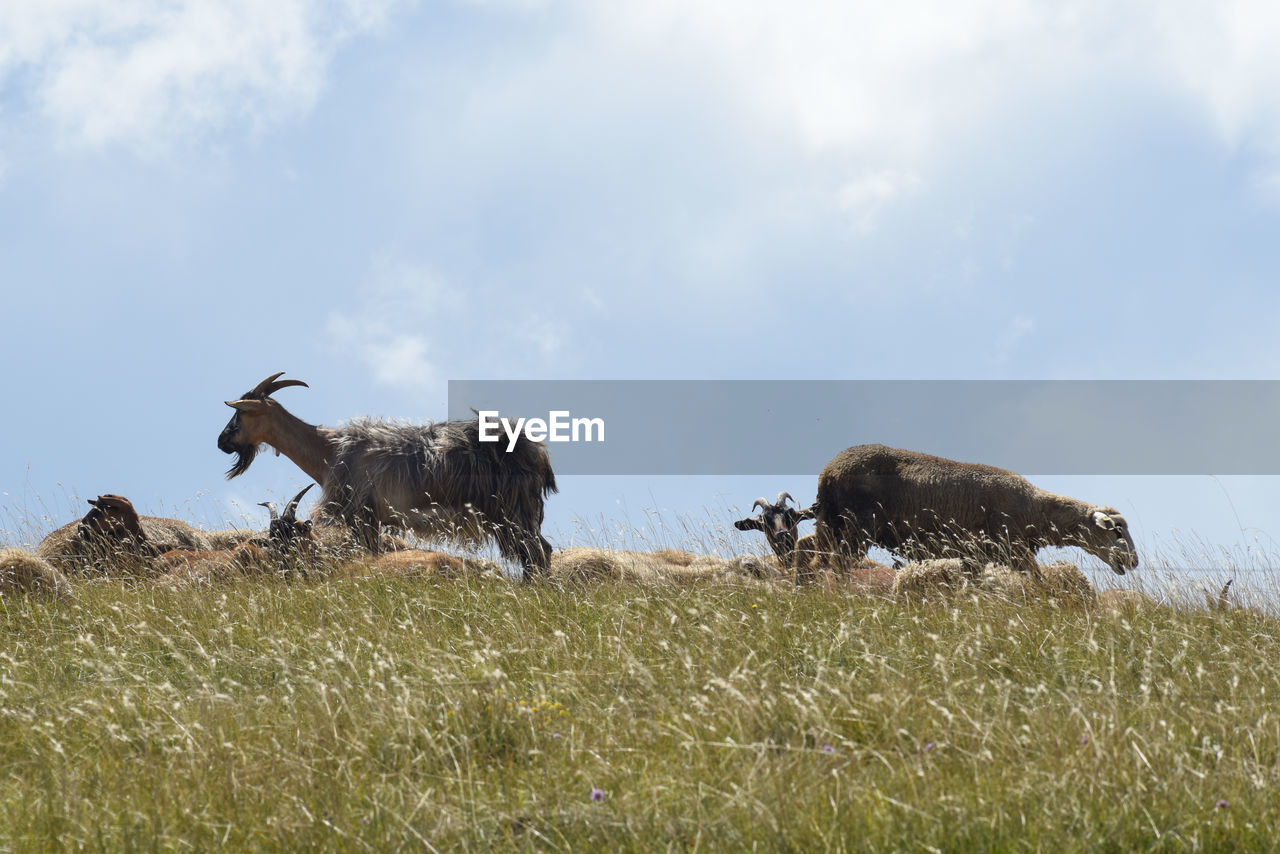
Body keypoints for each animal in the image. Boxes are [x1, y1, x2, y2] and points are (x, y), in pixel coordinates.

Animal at [217, 371, 558, 578]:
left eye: (241, 412)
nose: (222, 441)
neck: (329, 449)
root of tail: (538, 453)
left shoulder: (362, 515)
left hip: (514, 511)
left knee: (537, 552)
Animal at [814, 445, 1136, 578]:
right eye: (1117, 531)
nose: (1133, 562)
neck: (1037, 510)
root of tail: (828, 472)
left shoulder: (974, 555)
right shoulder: (1014, 549)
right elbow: (1038, 583)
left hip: (829, 525)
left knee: (818, 562)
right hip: (856, 528)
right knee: (839, 565)